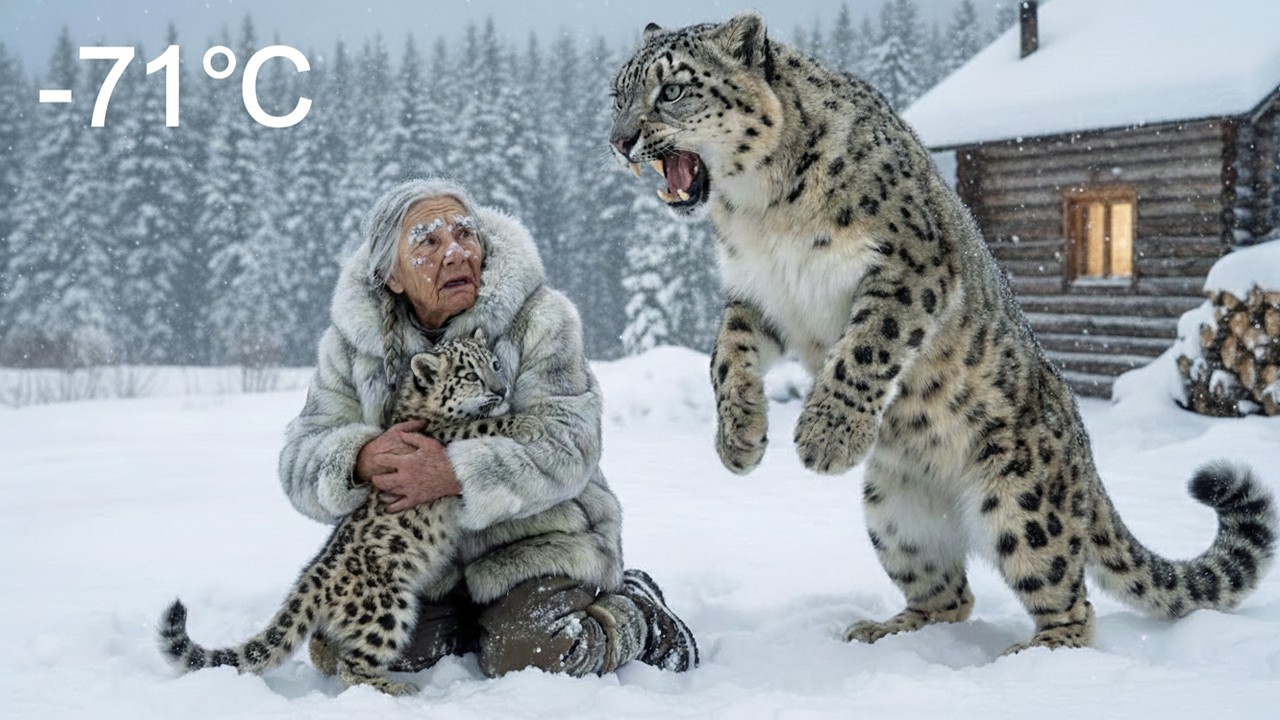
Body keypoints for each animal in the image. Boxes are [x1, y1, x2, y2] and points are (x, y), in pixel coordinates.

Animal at [158, 329, 542, 695]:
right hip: (387, 609)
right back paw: (398, 688)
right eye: (469, 375)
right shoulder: (442, 435)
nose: (501, 389)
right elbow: (481, 425)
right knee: (353, 665)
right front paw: (525, 422)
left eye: (494, 365)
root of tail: (313, 576)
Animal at [609, 13, 1277, 655]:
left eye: (672, 90)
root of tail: (1085, 455)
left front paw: (826, 438)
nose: (619, 141)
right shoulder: (759, 297)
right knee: (948, 593)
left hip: (1024, 504)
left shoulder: (909, 266)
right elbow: (725, 357)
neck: (760, 212)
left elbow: (865, 350)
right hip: (896, 515)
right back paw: (885, 632)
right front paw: (740, 439)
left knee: (1070, 600)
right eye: (618, 95)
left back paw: (1033, 655)